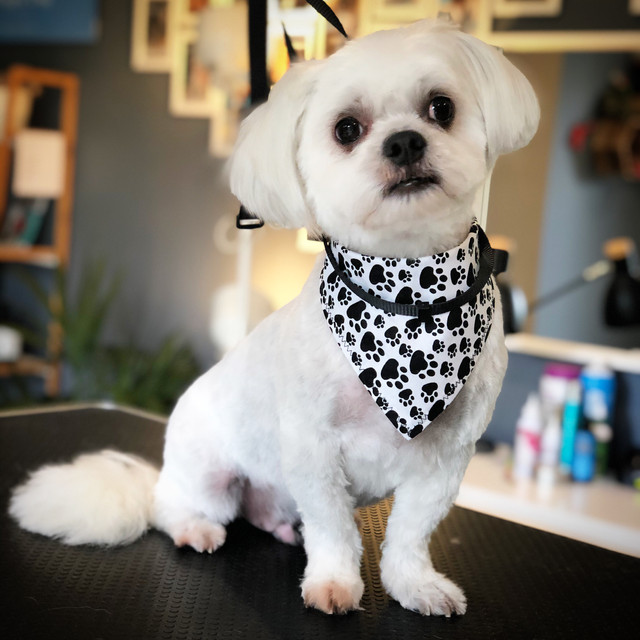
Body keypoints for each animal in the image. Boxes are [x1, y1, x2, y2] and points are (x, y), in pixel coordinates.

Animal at [9, 20, 539, 617]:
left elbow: (410, 532)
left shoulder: (447, 457)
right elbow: (334, 527)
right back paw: (194, 526)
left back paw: (281, 527)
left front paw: (415, 585)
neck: (409, 295)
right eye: (347, 129)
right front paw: (335, 581)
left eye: (441, 107)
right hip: (208, 475)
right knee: (172, 508)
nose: (404, 142)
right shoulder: (312, 445)